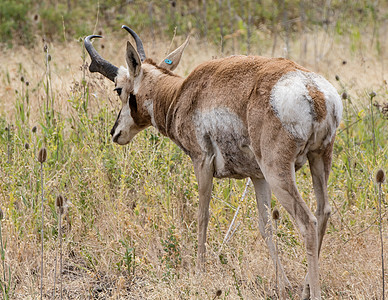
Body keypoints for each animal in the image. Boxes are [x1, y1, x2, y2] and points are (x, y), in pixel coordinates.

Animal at [85, 26, 342, 300]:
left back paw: (313, 291)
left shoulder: (202, 162)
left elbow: (202, 215)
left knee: (308, 222)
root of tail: (313, 90)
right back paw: (304, 288)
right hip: (318, 159)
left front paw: (200, 270)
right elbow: (265, 226)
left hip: (279, 173)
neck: (181, 93)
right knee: (323, 212)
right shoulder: (257, 177)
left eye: (118, 89)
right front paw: (282, 284)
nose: (115, 133)